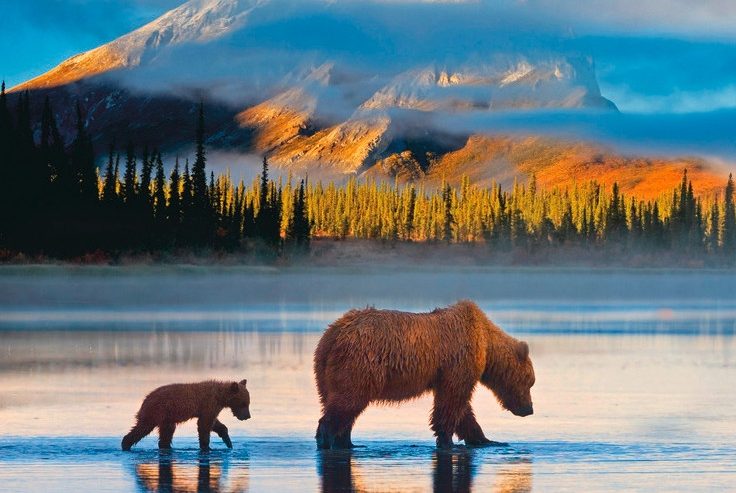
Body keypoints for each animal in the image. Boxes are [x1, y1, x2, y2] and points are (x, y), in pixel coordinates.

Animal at [312, 300, 536, 450]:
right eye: (530, 382)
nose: (529, 409)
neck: (486, 343)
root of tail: (333, 333)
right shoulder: (459, 361)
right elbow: (452, 402)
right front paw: (447, 441)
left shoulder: (447, 373)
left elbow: (461, 407)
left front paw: (486, 440)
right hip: (360, 364)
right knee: (348, 400)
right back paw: (326, 439)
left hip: (324, 370)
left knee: (337, 403)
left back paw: (347, 443)